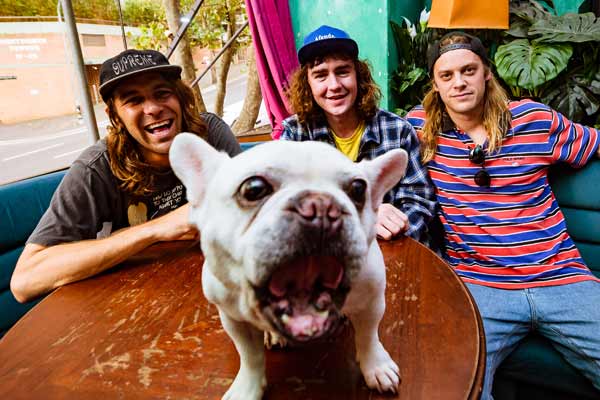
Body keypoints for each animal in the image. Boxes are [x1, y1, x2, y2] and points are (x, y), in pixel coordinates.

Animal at [170, 134, 407, 400]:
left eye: (358, 189)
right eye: (253, 189)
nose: (320, 205)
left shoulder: (372, 302)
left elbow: (368, 336)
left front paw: (376, 367)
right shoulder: (233, 318)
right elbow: (250, 356)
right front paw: (248, 388)